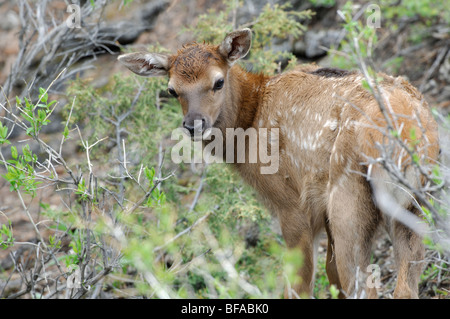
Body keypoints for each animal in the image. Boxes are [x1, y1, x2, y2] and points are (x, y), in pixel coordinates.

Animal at [118, 28, 440, 298]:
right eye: (172, 89)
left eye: (218, 81)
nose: (193, 124)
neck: (248, 126)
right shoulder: (320, 207)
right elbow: (330, 273)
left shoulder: (290, 201)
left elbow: (299, 282)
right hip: (416, 200)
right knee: (405, 284)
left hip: (348, 197)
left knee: (363, 286)